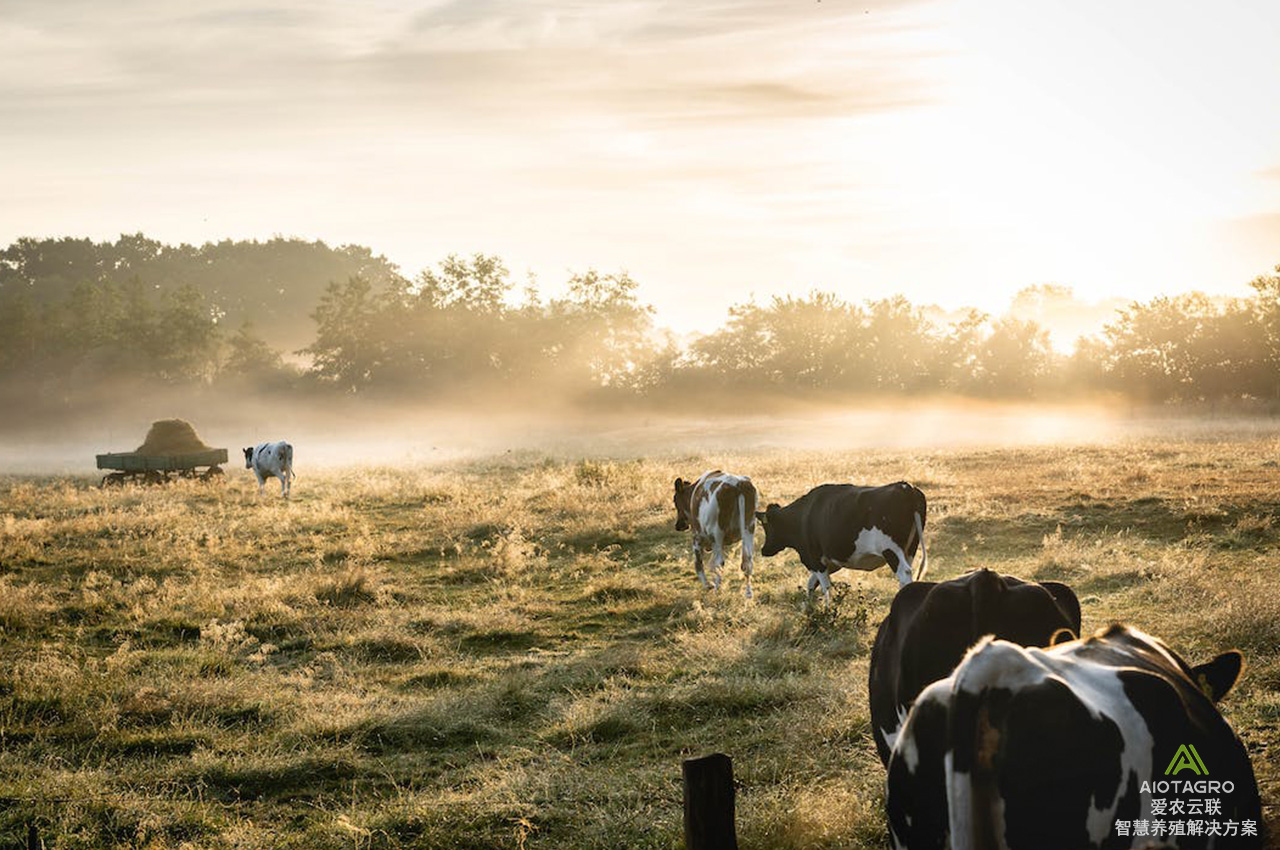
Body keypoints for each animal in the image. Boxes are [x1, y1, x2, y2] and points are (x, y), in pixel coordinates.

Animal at [752, 478, 926, 596]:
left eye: (766, 526)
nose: (764, 550)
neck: (803, 515)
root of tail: (905, 486)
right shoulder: (831, 562)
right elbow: (811, 584)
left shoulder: (815, 559)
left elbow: (825, 587)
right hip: (910, 549)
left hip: (891, 549)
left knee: (904, 573)